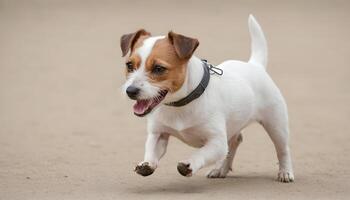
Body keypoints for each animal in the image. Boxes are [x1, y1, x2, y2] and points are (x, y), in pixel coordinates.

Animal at [119, 14, 294, 182]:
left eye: (158, 68)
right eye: (129, 65)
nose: (130, 90)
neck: (180, 104)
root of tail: (254, 65)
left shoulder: (216, 142)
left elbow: (201, 154)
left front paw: (189, 163)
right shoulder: (158, 134)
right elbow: (151, 151)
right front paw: (147, 163)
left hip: (276, 125)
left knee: (282, 150)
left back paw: (285, 172)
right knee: (234, 143)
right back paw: (220, 169)